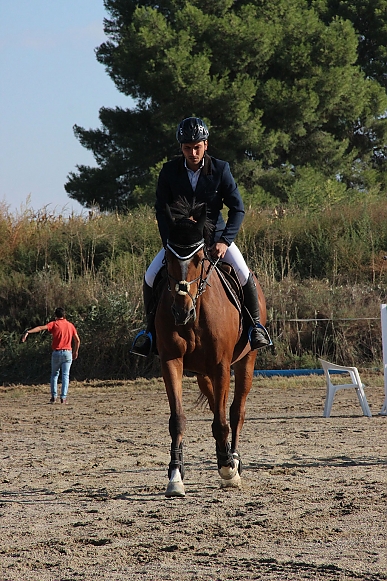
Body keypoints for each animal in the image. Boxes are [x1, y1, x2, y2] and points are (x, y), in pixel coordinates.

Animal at [154, 198, 266, 494]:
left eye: (199, 258)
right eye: (168, 258)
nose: (181, 312)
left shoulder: (221, 365)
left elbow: (224, 419)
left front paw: (228, 468)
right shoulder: (171, 361)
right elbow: (178, 419)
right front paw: (175, 476)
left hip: (246, 361)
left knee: (235, 411)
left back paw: (233, 459)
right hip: (203, 373)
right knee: (218, 405)